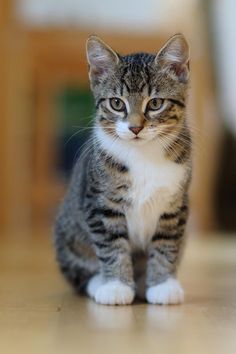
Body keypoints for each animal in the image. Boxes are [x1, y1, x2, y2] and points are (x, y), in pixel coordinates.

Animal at [54, 34, 192, 304]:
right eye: (117, 103)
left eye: (155, 103)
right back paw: (98, 281)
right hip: (67, 232)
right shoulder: (99, 202)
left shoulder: (176, 202)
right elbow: (112, 244)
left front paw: (162, 284)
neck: (143, 155)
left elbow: (166, 243)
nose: (135, 128)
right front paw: (116, 285)